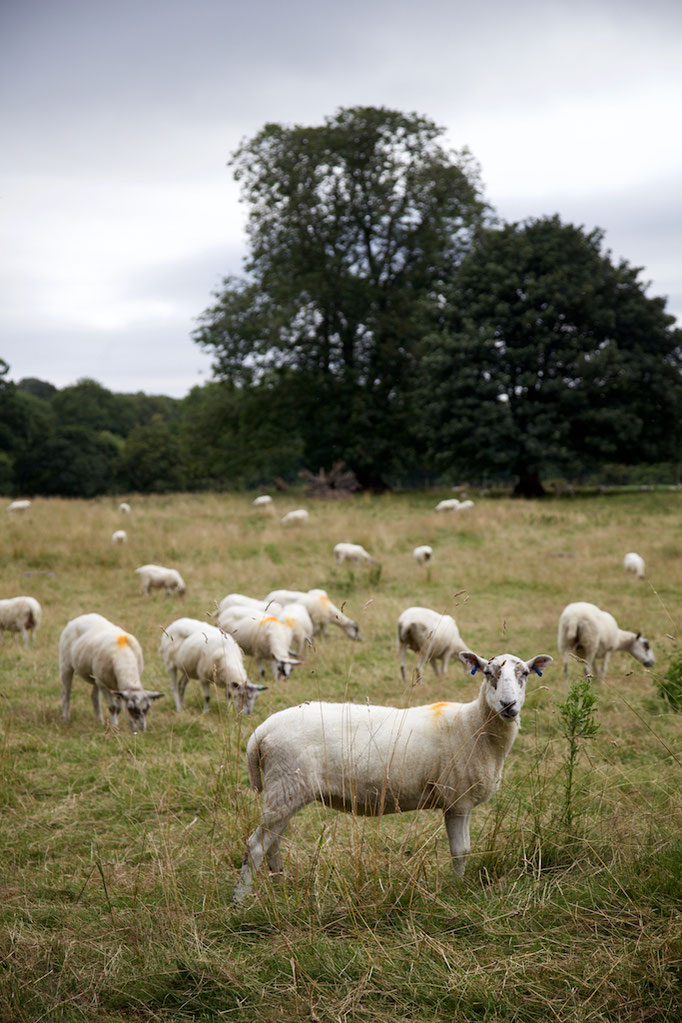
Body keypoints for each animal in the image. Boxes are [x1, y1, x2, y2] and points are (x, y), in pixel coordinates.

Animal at [235, 650, 556, 900]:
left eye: (524, 673)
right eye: (488, 673)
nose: (508, 705)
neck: (473, 726)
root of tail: (260, 733)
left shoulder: (458, 801)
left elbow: (463, 850)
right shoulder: (457, 800)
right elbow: (460, 851)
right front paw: (457, 891)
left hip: (286, 791)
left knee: (272, 843)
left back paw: (279, 885)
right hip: (286, 786)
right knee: (255, 846)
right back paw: (240, 900)